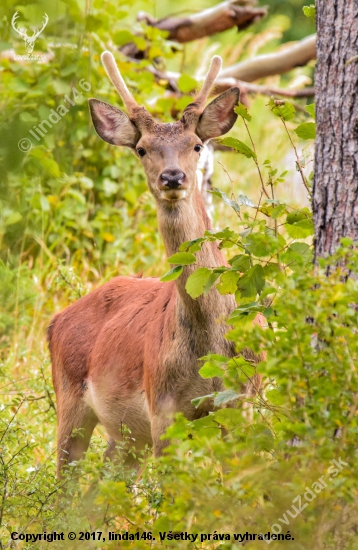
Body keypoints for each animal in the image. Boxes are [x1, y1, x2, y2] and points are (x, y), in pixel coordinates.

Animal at [48, 54, 262, 480]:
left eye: (196, 145)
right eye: (143, 149)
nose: (173, 176)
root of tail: (55, 321)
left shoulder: (246, 397)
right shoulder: (163, 405)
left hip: (128, 438)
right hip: (70, 398)